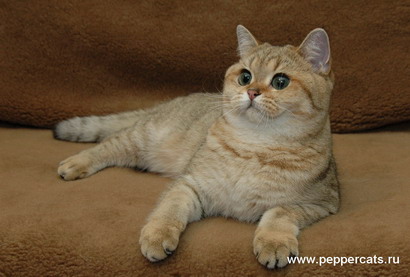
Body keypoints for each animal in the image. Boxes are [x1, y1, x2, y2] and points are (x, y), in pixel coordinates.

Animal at [54, 25, 340, 268]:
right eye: (245, 77)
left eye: (281, 82)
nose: (251, 92)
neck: (255, 145)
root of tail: (163, 105)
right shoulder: (190, 183)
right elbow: (170, 209)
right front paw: (157, 235)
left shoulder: (322, 203)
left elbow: (280, 212)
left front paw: (274, 242)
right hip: (141, 138)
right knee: (107, 145)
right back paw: (76, 163)